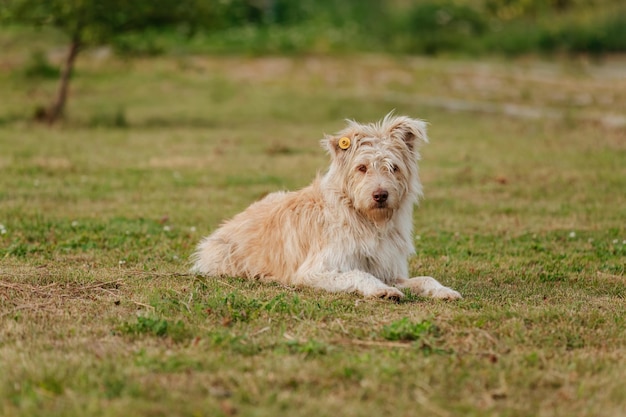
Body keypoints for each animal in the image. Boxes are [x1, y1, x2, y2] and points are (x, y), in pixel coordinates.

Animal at [193, 113, 460, 300]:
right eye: (362, 167)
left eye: (393, 167)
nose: (380, 195)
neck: (363, 219)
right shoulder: (314, 271)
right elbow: (358, 273)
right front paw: (381, 291)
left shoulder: (389, 270)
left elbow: (425, 278)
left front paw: (444, 290)